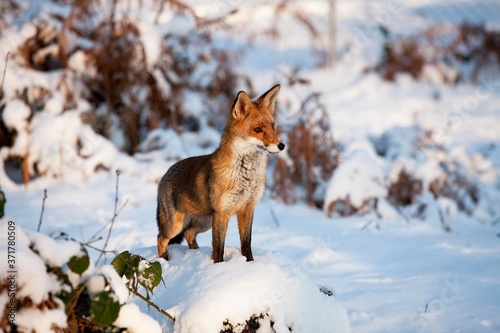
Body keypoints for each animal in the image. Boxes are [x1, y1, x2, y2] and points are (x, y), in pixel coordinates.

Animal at [156, 83, 286, 262]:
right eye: (258, 129)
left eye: (273, 127)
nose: (282, 145)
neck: (245, 177)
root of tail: (166, 172)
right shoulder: (222, 211)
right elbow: (218, 248)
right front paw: (218, 265)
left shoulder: (247, 207)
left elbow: (246, 243)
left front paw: (250, 263)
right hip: (176, 224)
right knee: (161, 238)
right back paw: (164, 260)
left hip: (204, 221)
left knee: (189, 233)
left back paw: (195, 253)